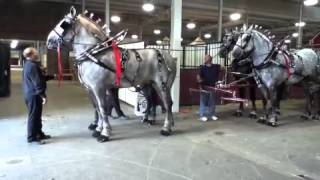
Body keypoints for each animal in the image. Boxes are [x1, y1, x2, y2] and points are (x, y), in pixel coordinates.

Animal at [47, 7, 176, 142]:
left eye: (63, 24)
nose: (48, 40)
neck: (94, 53)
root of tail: (168, 55)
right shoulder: (91, 89)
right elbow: (97, 108)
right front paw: (98, 129)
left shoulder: (98, 87)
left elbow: (102, 108)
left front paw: (104, 133)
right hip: (148, 85)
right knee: (152, 101)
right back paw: (151, 120)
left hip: (162, 85)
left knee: (167, 103)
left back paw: (166, 128)